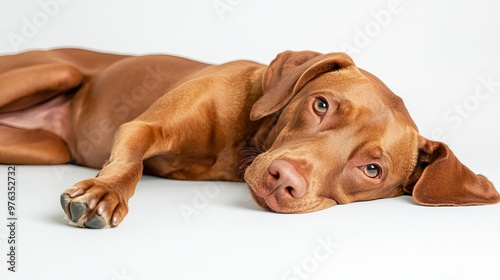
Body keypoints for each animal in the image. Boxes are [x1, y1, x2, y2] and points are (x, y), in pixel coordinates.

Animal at [0, 48, 498, 228]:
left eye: (372, 169)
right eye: (321, 105)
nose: (284, 180)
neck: (244, 139)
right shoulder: (143, 129)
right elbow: (131, 163)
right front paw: (105, 192)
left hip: (43, 148)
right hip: (53, 69)